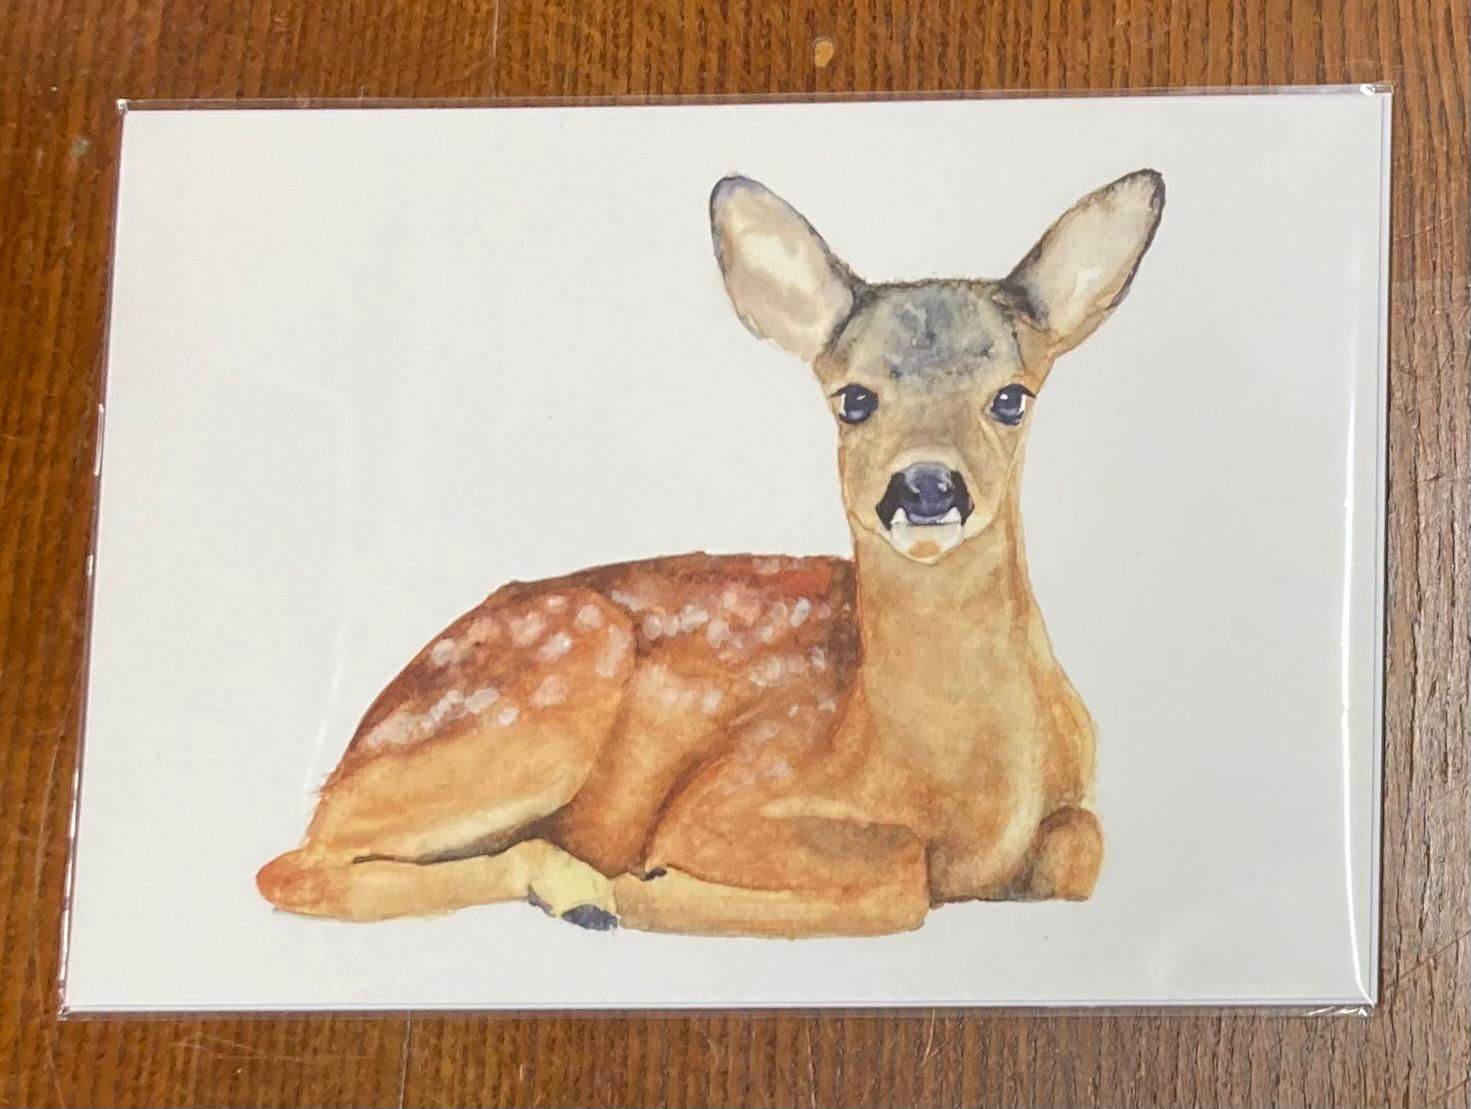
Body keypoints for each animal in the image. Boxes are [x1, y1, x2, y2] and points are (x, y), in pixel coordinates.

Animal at [257, 168, 1165, 937]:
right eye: (853, 398)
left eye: (1011, 397)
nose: (926, 485)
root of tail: (352, 749)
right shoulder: (731, 792)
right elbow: (899, 874)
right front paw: (650, 884)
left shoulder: (1075, 805)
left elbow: (1080, 849)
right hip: (550, 686)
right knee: (293, 867)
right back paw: (578, 888)